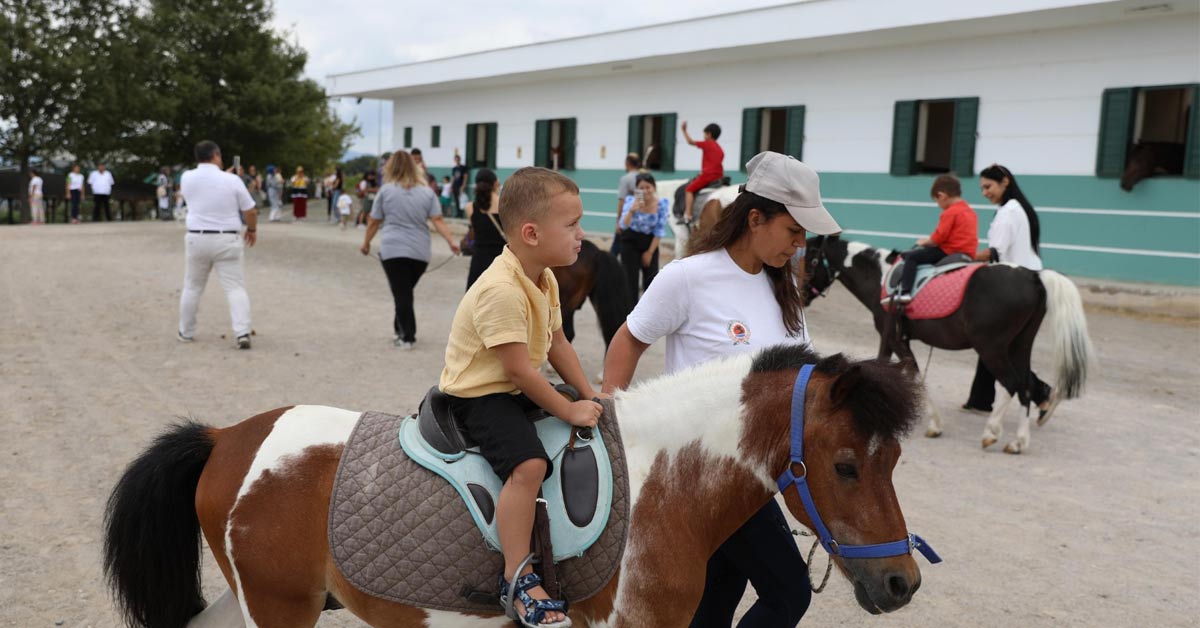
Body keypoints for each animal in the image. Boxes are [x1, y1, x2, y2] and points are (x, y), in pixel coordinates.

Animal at [103, 345, 926, 624]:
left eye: (893, 461)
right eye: (846, 465)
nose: (901, 584)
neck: (661, 485)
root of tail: (226, 440)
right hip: (279, 608)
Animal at [801, 234, 1094, 451]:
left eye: (811, 259)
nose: (801, 294)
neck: (882, 277)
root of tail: (1032, 275)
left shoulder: (895, 338)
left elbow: (914, 374)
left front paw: (934, 424)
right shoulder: (890, 339)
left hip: (992, 348)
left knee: (1012, 384)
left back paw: (992, 432)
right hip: (1019, 346)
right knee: (1025, 385)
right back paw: (1018, 441)